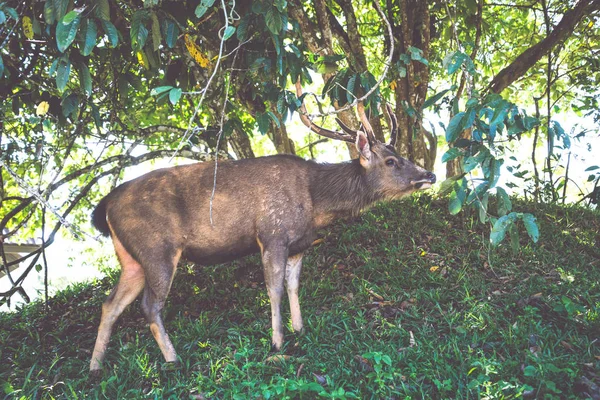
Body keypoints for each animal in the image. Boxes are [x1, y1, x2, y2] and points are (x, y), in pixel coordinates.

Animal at [88, 85, 436, 376]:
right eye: (391, 161)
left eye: (401, 155)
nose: (429, 175)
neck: (315, 203)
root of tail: (104, 207)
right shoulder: (273, 235)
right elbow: (274, 289)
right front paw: (277, 342)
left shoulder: (299, 244)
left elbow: (293, 285)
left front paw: (299, 329)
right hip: (156, 248)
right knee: (150, 305)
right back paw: (173, 360)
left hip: (131, 258)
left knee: (110, 304)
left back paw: (95, 366)